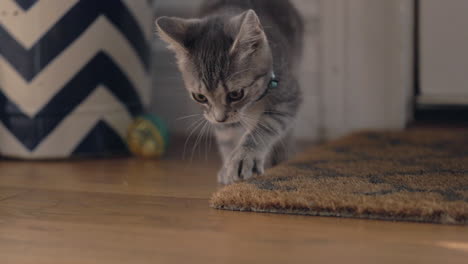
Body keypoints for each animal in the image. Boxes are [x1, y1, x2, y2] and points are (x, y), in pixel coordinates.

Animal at [155, 0, 306, 184]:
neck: (252, 105)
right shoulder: (225, 122)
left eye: (236, 94)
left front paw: (245, 156)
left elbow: (267, 124)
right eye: (200, 97)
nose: (220, 119)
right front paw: (228, 168)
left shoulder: (288, 95)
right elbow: (228, 138)